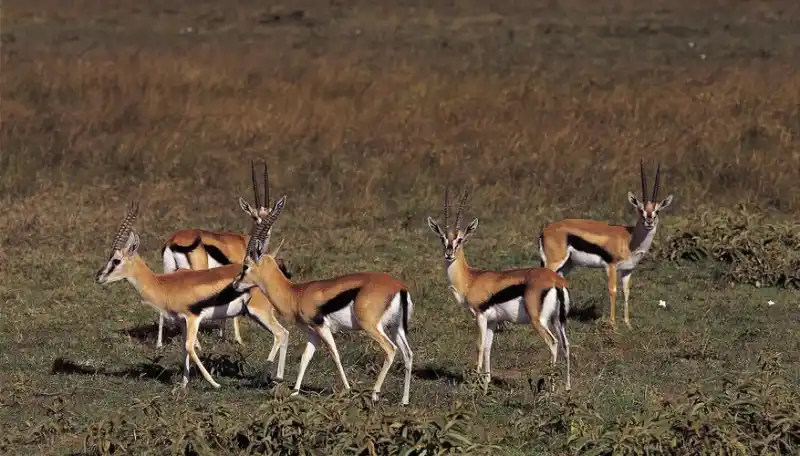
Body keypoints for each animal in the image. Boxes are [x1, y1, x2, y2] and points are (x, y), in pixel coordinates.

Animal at [95, 198, 291, 388]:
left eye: (116, 260)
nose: (98, 277)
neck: (165, 285)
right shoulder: (182, 321)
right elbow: (184, 348)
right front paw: (183, 384)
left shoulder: (193, 318)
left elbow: (190, 347)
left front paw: (215, 383)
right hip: (255, 314)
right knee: (283, 334)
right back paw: (276, 379)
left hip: (260, 312)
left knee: (281, 333)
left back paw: (267, 379)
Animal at [158, 161, 291, 348]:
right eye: (254, 216)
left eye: (269, 215)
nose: (265, 228)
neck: (246, 241)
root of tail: (173, 240)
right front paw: (238, 339)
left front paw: (222, 335)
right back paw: (197, 345)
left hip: (169, 271)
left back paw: (159, 344)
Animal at [230, 208, 416, 406]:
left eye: (246, 266)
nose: (234, 285)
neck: (297, 294)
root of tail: (399, 287)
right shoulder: (313, 333)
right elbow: (305, 358)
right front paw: (295, 392)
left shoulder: (322, 327)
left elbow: (335, 355)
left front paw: (348, 390)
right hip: (396, 328)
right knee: (408, 354)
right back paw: (404, 400)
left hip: (372, 327)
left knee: (391, 350)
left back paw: (374, 394)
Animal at [427, 186, 571, 391]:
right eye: (442, 238)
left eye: (460, 240)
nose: (449, 254)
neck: (471, 278)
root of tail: (555, 281)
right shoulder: (493, 321)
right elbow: (488, 347)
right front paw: (486, 382)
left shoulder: (480, 316)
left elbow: (479, 346)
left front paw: (475, 383)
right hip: (558, 320)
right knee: (566, 345)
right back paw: (567, 387)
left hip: (539, 321)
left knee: (553, 343)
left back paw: (550, 388)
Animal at [538, 160, 674, 329]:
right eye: (640, 209)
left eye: (657, 211)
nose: (649, 221)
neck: (629, 239)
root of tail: (545, 231)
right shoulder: (611, 266)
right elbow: (613, 290)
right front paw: (613, 324)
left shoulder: (628, 270)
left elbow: (626, 292)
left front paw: (628, 324)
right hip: (554, 262)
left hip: (567, 265)